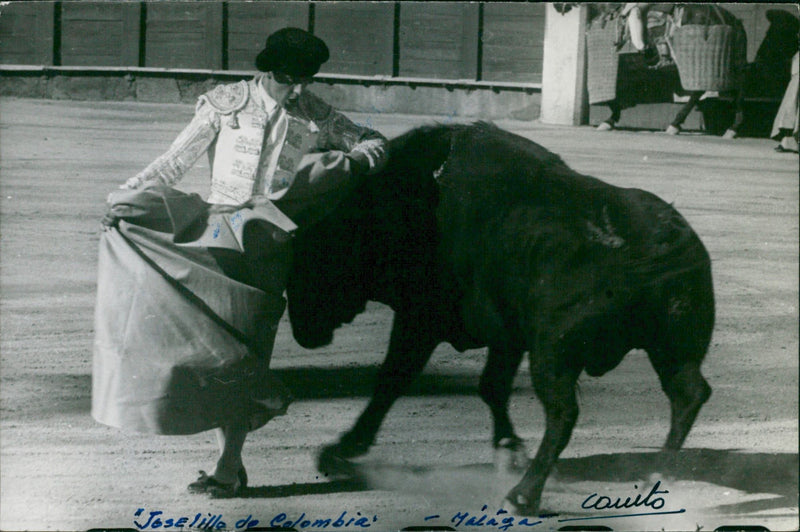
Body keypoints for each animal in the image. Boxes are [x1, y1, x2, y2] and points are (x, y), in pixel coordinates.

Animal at [282, 121, 712, 516]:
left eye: (315, 240)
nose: (303, 331)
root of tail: (652, 245)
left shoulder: (419, 321)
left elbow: (392, 380)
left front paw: (339, 451)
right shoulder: (506, 336)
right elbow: (491, 387)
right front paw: (508, 450)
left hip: (553, 355)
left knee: (564, 413)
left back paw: (523, 496)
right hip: (671, 350)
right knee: (688, 395)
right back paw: (657, 475)